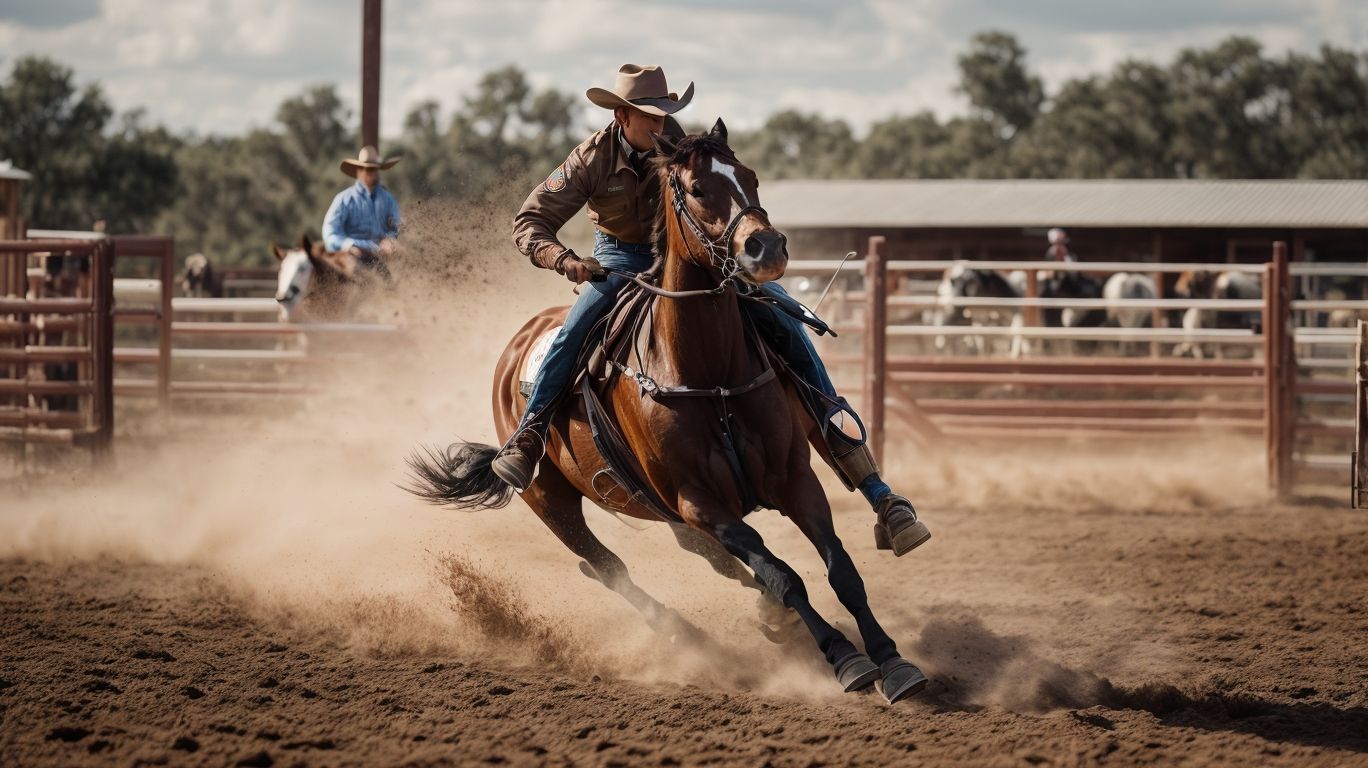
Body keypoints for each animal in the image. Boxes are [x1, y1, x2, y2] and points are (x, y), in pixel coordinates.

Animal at [405, 119, 929, 704]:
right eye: (698, 189)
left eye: (750, 177)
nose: (766, 247)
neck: (710, 373)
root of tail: (521, 342)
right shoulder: (699, 503)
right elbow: (784, 576)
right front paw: (845, 658)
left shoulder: (794, 479)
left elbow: (840, 568)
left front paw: (892, 661)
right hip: (551, 500)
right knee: (606, 567)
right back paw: (691, 636)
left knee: (726, 560)